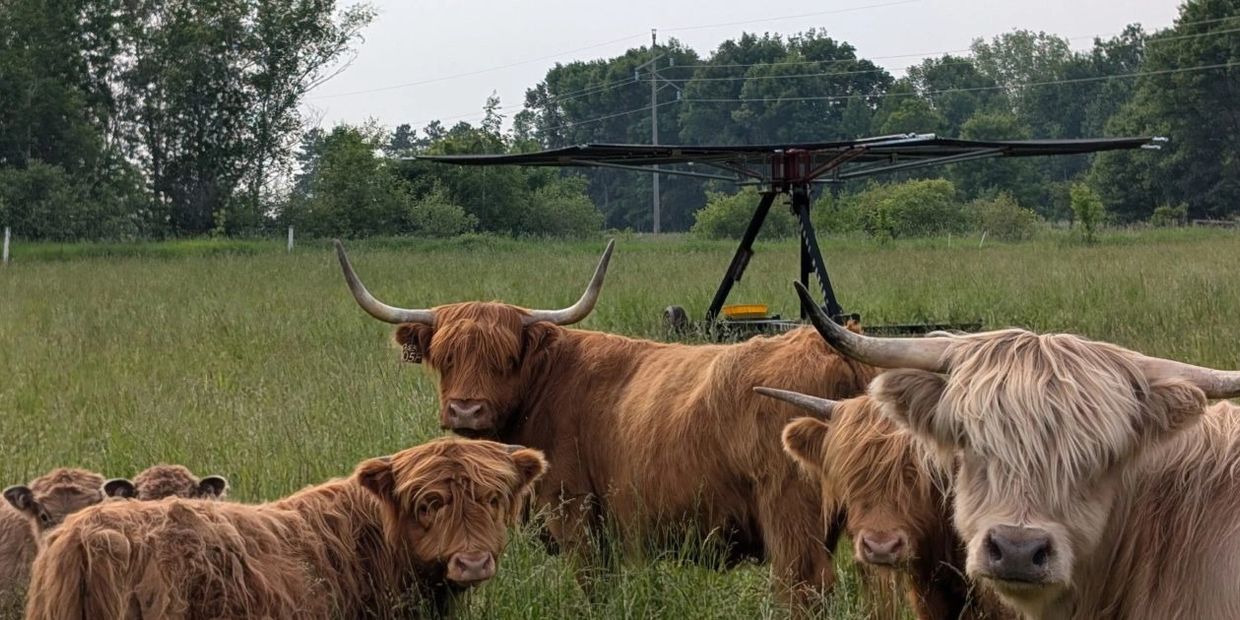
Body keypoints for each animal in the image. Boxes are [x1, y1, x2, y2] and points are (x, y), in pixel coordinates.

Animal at [333, 240, 879, 604]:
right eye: (444, 356)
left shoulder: (573, 511)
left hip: (790, 514)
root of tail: (831, 347)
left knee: (803, 586)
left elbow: (590, 586)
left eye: (506, 357)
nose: (466, 410)